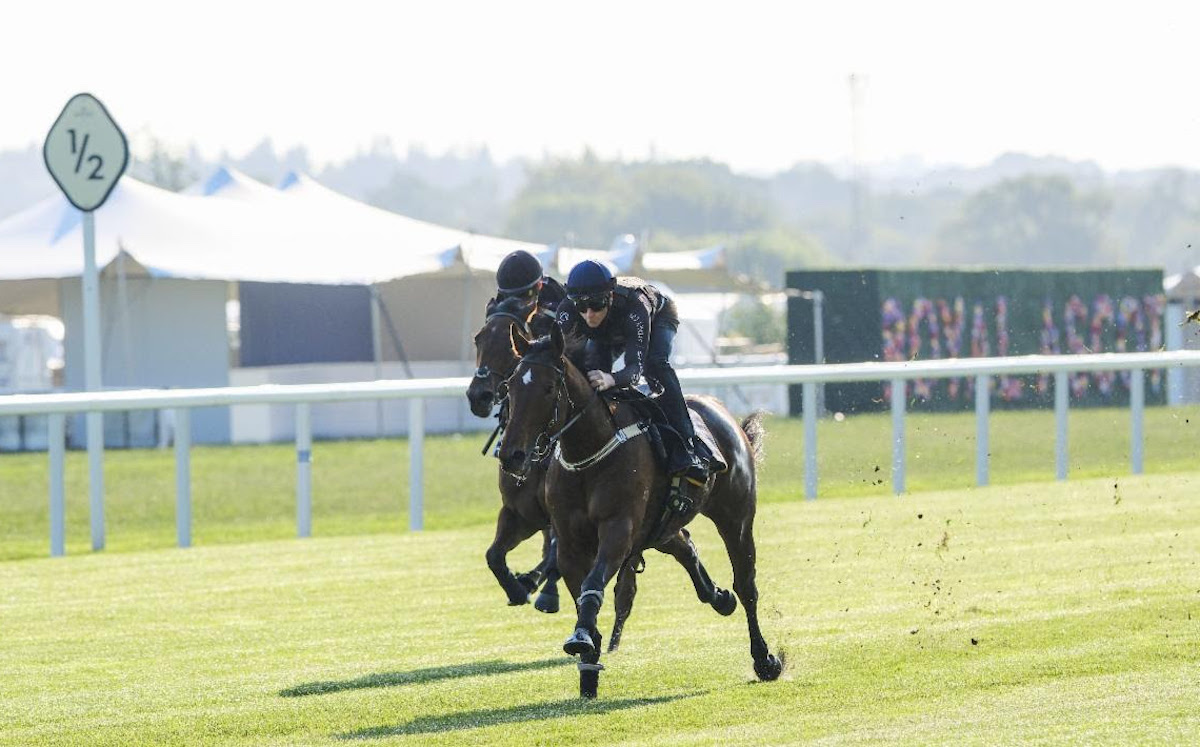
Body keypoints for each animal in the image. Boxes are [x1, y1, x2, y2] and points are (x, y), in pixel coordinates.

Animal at [499, 326, 787, 701]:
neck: (589, 452)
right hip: (660, 526)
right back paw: (719, 598)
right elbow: (581, 592)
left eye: (548, 387)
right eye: (511, 386)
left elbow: (593, 584)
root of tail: (722, 412)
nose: (512, 455)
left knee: (747, 585)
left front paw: (582, 638)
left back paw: (764, 659)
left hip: (735, 516)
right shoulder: (570, 542)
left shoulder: (618, 528)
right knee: (685, 544)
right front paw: (588, 667)